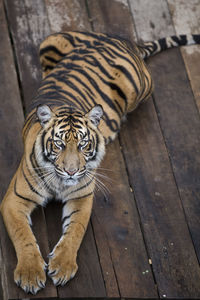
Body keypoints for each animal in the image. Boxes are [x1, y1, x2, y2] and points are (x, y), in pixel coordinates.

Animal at [0, 31, 199, 294]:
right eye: (59, 144)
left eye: (83, 144)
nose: (71, 172)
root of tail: (124, 42)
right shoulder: (14, 199)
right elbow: (22, 234)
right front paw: (31, 274)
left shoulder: (82, 197)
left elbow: (75, 231)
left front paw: (62, 267)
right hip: (50, 42)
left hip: (141, 89)